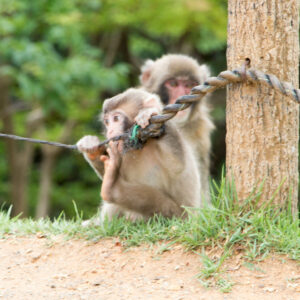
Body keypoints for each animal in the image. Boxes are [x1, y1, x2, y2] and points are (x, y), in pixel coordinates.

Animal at [77, 88, 202, 221]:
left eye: (116, 118)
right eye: (107, 121)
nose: (110, 131)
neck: (142, 145)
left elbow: (178, 166)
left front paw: (150, 113)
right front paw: (93, 150)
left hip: (177, 215)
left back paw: (112, 189)